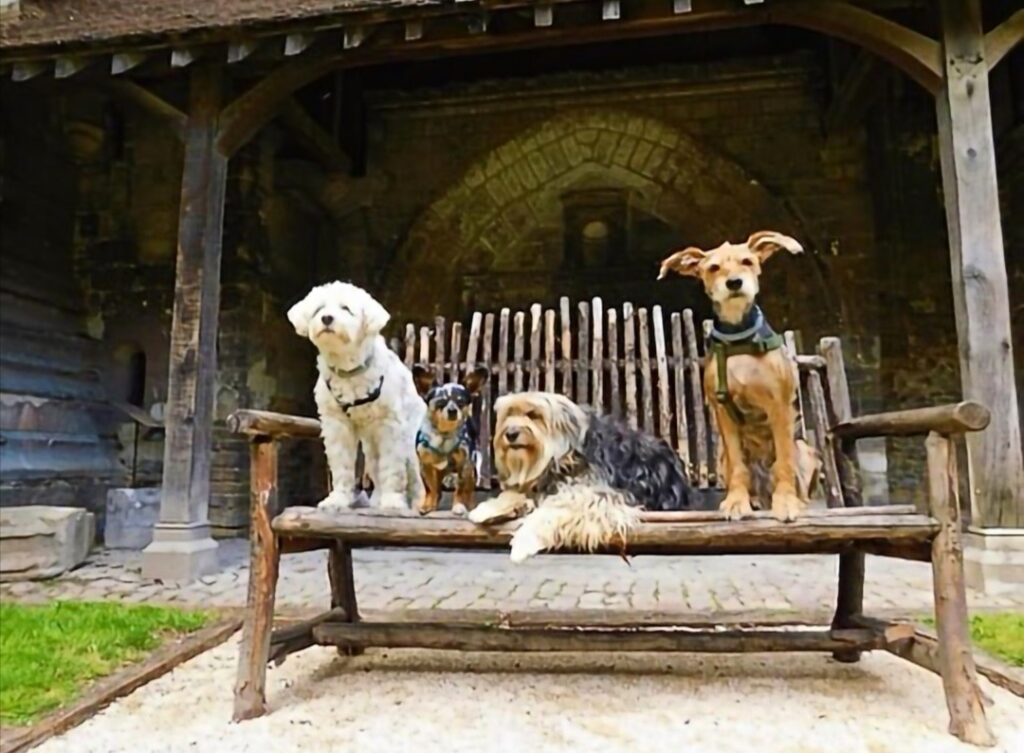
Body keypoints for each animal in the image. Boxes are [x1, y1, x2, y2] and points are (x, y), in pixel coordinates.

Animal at [288, 282, 428, 512]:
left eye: (346, 308)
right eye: (319, 308)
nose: (327, 318)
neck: (348, 369)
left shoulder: (390, 426)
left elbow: (392, 466)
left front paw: (393, 502)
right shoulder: (336, 424)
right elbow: (341, 464)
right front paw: (337, 500)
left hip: (407, 435)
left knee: (412, 472)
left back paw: (415, 503)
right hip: (371, 445)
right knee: (376, 467)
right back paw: (377, 500)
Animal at [468, 395, 692, 561]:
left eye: (533, 415)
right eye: (509, 414)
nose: (511, 433)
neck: (563, 456)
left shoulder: (596, 496)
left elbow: (552, 512)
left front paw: (524, 540)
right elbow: (515, 494)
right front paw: (487, 509)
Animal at [659, 232, 819, 520]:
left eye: (747, 261)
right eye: (713, 268)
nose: (734, 282)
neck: (738, 339)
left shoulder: (779, 407)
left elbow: (784, 463)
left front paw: (786, 502)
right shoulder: (723, 413)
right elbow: (738, 467)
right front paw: (736, 501)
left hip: (805, 450)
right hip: (723, 457)